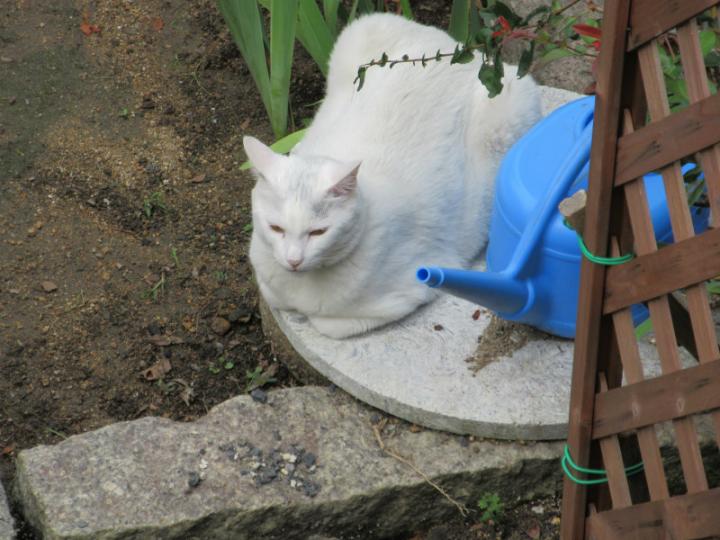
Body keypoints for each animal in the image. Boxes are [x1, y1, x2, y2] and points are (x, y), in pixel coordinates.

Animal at [243, 13, 541, 339]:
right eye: (276, 228)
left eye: (318, 232)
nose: (294, 260)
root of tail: (456, 51)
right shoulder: (267, 279)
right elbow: (275, 295)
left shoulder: (402, 294)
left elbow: (327, 324)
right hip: (363, 27)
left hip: (515, 99)